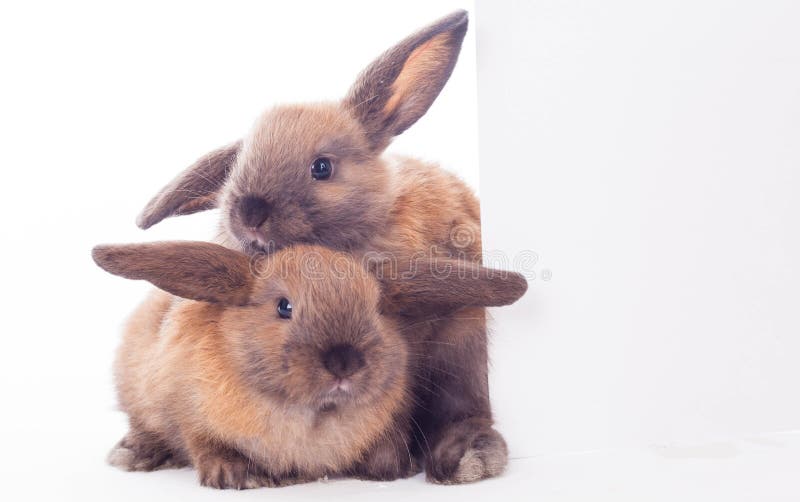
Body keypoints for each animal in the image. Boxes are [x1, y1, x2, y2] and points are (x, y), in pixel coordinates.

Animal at [92, 240, 528, 489]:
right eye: (284, 307)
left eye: (377, 308)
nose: (344, 362)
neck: (311, 416)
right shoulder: (187, 409)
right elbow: (204, 443)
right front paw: (238, 476)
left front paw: (391, 468)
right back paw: (132, 454)